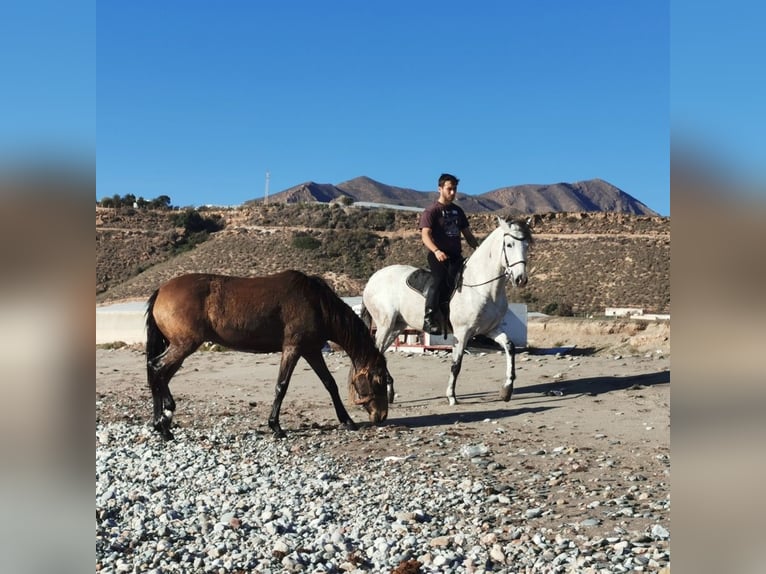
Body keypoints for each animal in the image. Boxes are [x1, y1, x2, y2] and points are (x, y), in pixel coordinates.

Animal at [146, 270, 390, 440]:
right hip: (183, 346)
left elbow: (329, 383)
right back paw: (164, 423)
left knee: (159, 374)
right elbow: (282, 386)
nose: (382, 416)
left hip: (180, 348)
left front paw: (347, 421)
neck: (317, 303)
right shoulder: (293, 348)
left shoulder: (311, 350)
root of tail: (161, 290)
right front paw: (276, 426)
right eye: (380, 380)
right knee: (157, 369)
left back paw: (161, 423)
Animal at [362, 218, 536, 408]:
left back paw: (389, 391)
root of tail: (372, 279)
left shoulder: (490, 329)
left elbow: (510, 347)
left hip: (397, 327)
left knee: (380, 353)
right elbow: (456, 364)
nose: (521, 279)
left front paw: (507, 390)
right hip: (385, 324)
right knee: (376, 351)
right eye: (509, 244)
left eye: (527, 245)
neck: (482, 286)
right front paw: (451, 396)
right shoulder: (462, 332)